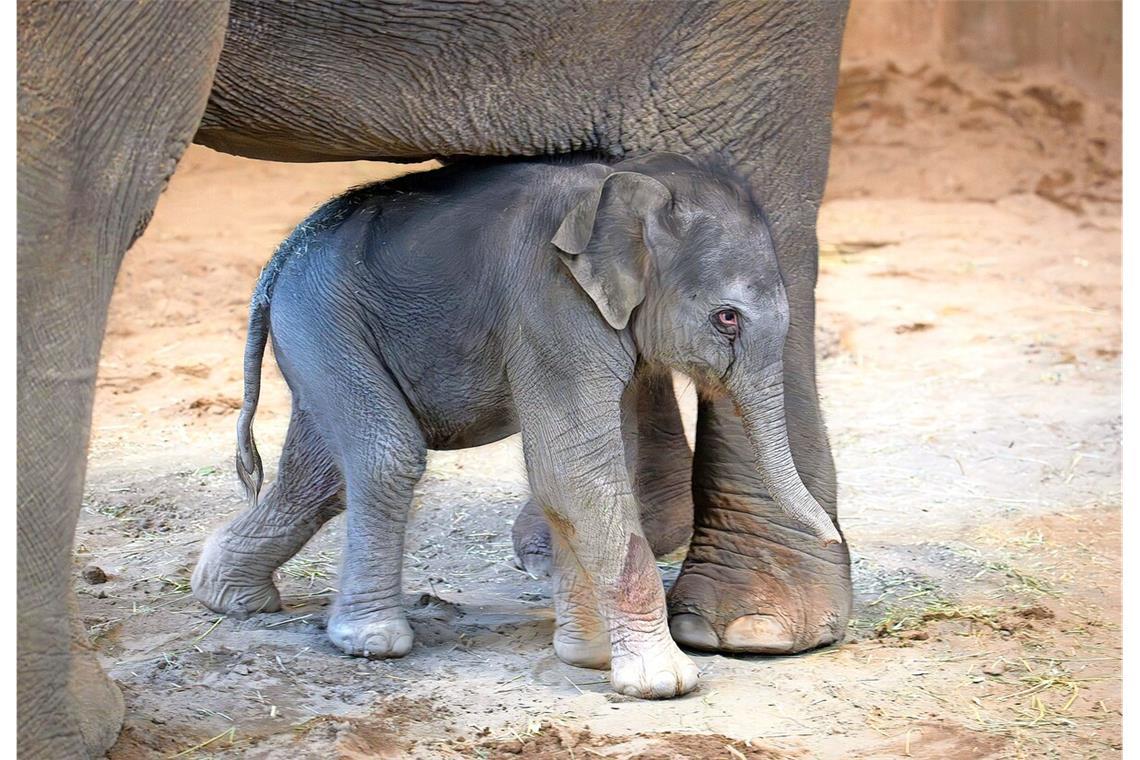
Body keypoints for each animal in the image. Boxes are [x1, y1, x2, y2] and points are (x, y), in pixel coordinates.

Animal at [191, 152, 843, 701]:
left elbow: (588, 470)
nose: (834, 537)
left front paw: (588, 658)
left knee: (321, 476)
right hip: (323, 318)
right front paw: (663, 682)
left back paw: (229, 598)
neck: (626, 182)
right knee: (385, 455)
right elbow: (573, 469)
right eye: (726, 318)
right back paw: (372, 641)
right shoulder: (552, 306)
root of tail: (279, 259)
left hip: (318, 329)